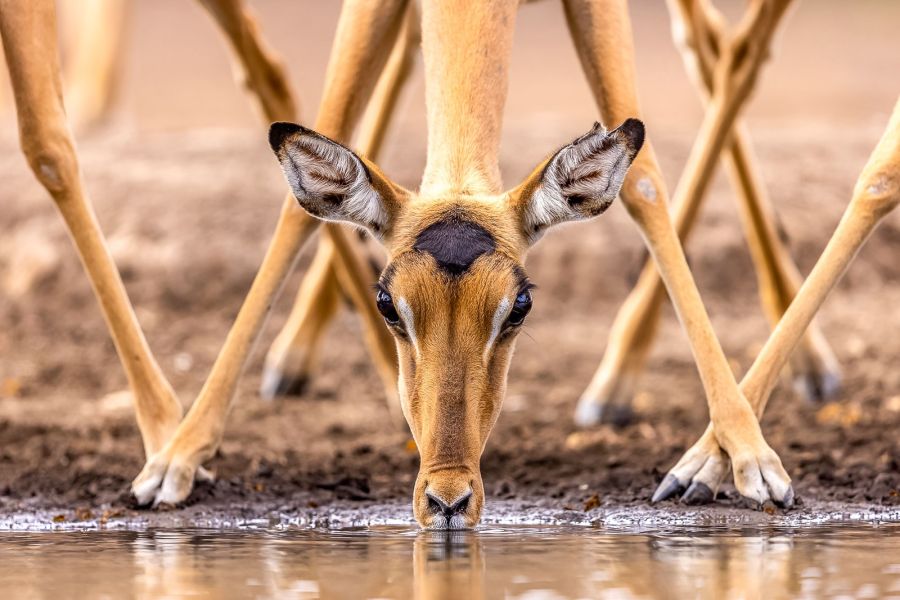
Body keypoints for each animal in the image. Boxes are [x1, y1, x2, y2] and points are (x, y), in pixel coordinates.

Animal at [2, 0, 898, 529]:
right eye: (390, 303)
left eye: (521, 305)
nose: (447, 496)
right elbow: (306, 185)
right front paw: (174, 460)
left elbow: (642, 181)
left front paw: (746, 459)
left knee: (726, 53)